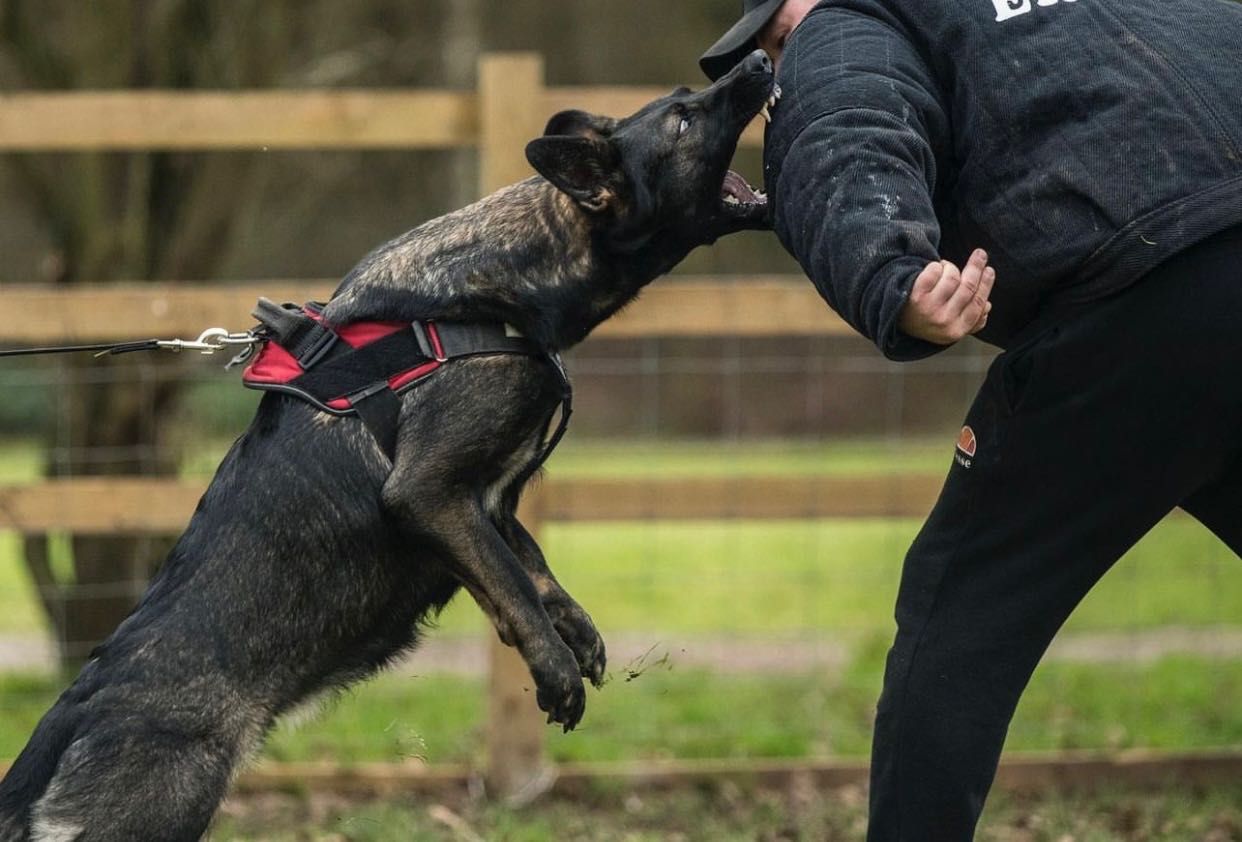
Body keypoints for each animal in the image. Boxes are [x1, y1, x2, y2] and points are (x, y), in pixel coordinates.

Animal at [0, 51, 775, 842]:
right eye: (683, 119)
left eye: (686, 98)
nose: (755, 59)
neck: (502, 287)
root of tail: (63, 730)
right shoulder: (430, 493)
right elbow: (512, 584)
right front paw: (553, 666)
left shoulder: (488, 503)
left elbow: (531, 571)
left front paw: (577, 636)